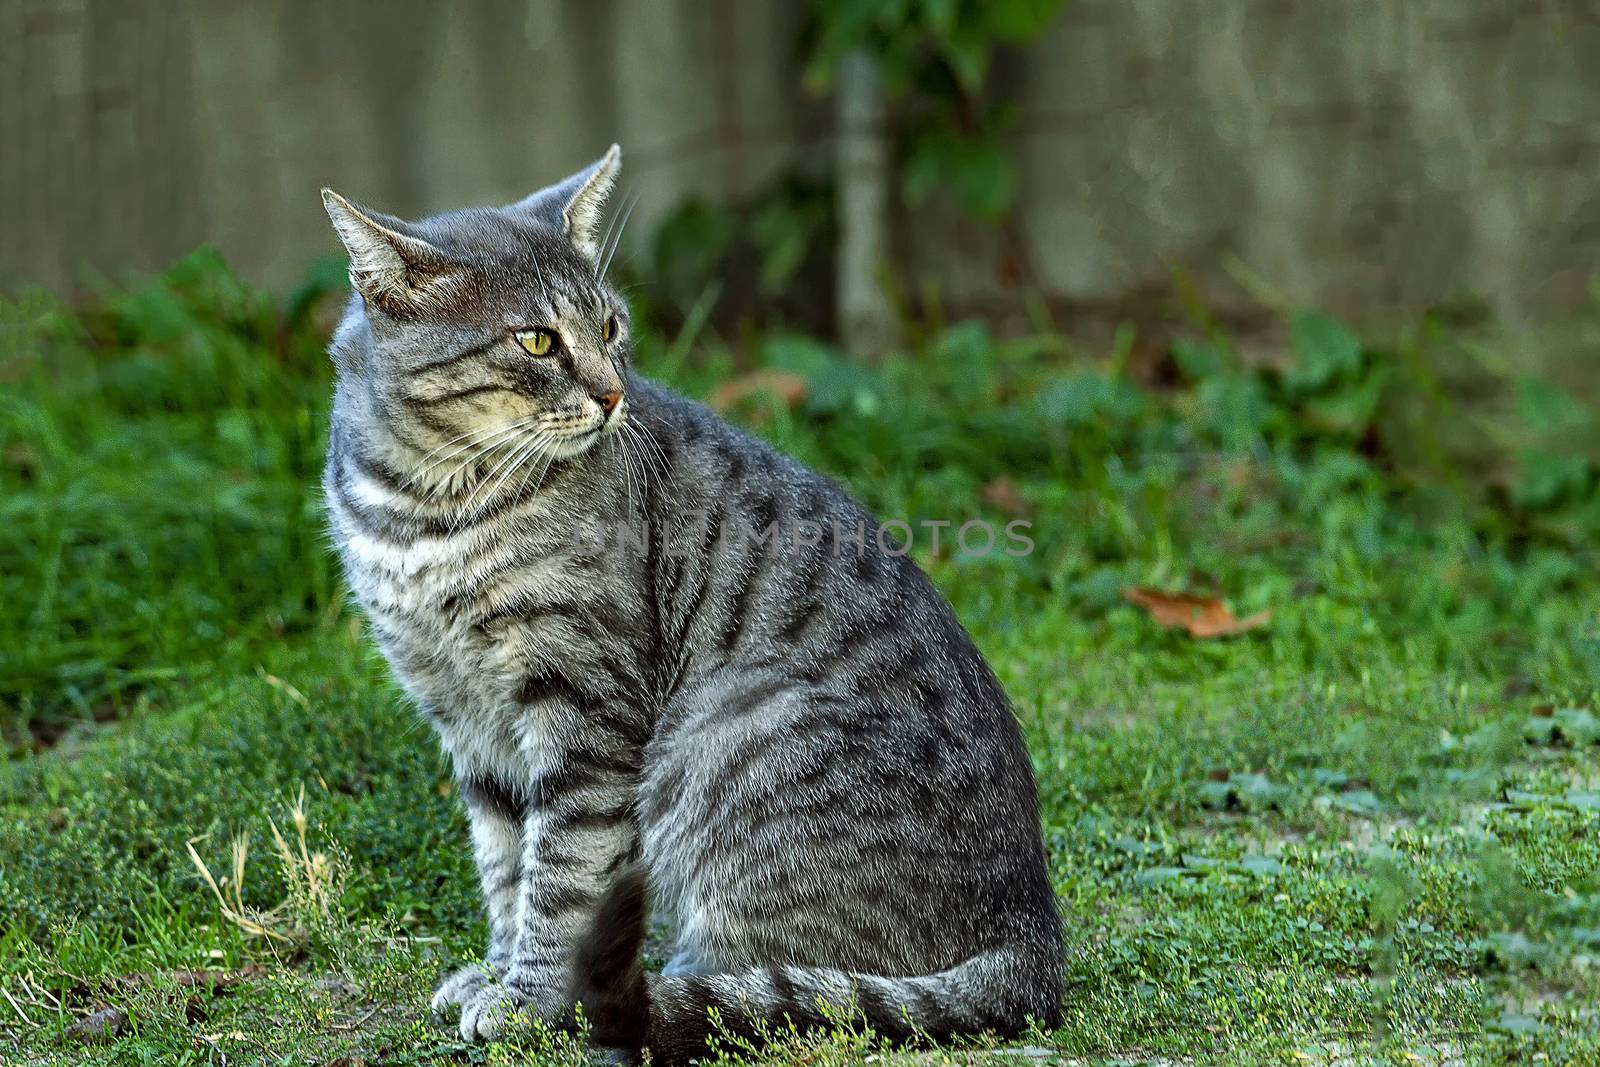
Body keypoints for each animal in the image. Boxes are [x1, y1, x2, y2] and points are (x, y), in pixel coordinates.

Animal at [318, 147, 1056, 1062]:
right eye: (537, 339)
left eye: (610, 328)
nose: (611, 395)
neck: (425, 506)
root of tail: (1035, 932)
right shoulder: (463, 714)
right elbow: (504, 862)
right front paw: (496, 967)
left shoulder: (585, 710)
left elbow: (560, 873)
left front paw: (529, 998)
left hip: (724, 731)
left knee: (793, 980)